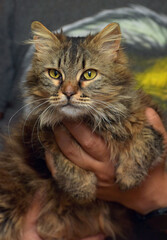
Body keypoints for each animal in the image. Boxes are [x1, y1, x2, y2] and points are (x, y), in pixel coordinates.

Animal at [0, 21, 164, 240]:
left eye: (89, 74)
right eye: (55, 74)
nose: (68, 93)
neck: (90, 121)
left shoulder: (149, 116)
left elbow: (144, 140)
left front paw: (129, 178)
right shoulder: (38, 135)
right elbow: (61, 158)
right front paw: (82, 188)